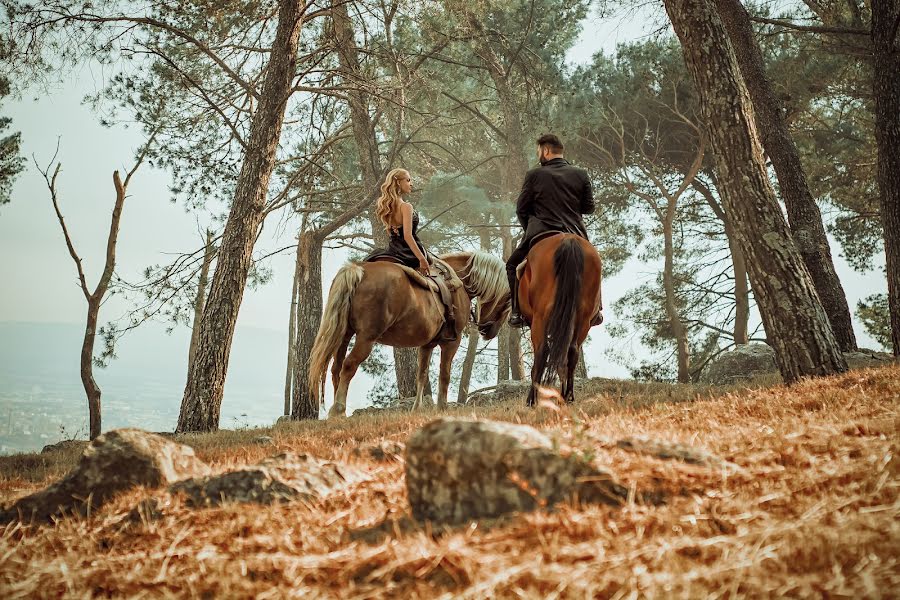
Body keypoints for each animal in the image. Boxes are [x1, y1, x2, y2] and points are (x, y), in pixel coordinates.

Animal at [310, 251, 510, 414]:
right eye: (509, 298)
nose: (489, 331)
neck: (459, 281)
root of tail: (358, 270)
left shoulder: (427, 345)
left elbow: (421, 374)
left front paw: (416, 409)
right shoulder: (452, 342)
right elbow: (444, 375)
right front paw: (442, 408)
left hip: (345, 334)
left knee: (336, 367)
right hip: (366, 338)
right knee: (348, 365)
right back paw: (338, 409)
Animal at [516, 234, 600, 408]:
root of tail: (569, 239)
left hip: (540, 317)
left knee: (542, 351)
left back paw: (532, 400)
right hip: (583, 319)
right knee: (571, 351)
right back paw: (567, 396)